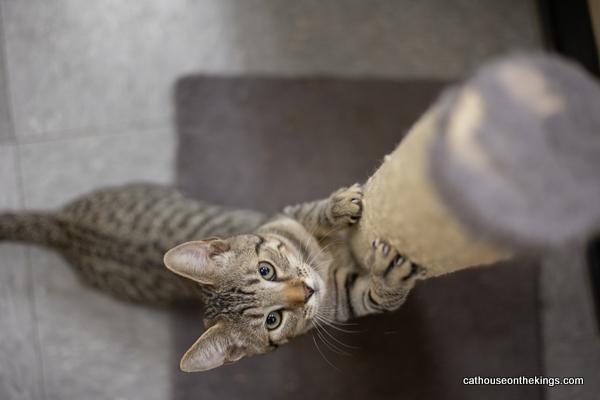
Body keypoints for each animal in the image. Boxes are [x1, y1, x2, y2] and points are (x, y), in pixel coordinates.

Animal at [0, 183, 424, 370]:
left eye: (266, 269)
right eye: (273, 320)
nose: (306, 291)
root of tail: (62, 228)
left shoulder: (287, 215)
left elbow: (312, 212)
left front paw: (340, 206)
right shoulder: (345, 299)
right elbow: (380, 295)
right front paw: (392, 271)